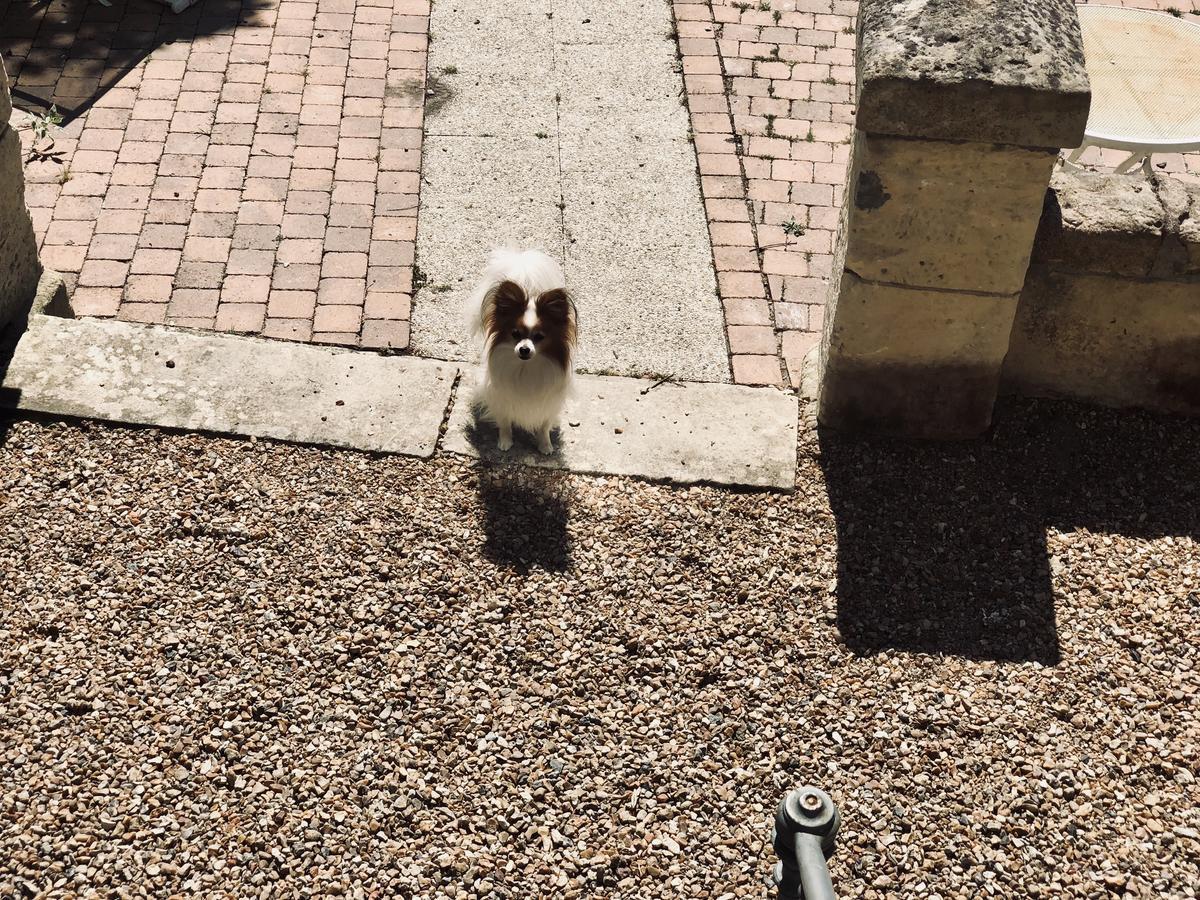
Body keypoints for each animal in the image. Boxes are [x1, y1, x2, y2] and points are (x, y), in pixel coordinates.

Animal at [470, 248, 578, 453]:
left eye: (539, 336)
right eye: (515, 333)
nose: (524, 349)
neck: (525, 367)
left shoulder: (548, 403)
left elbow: (544, 425)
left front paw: (545, 445)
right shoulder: (501, 397)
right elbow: (505, 422)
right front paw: (505, 442)